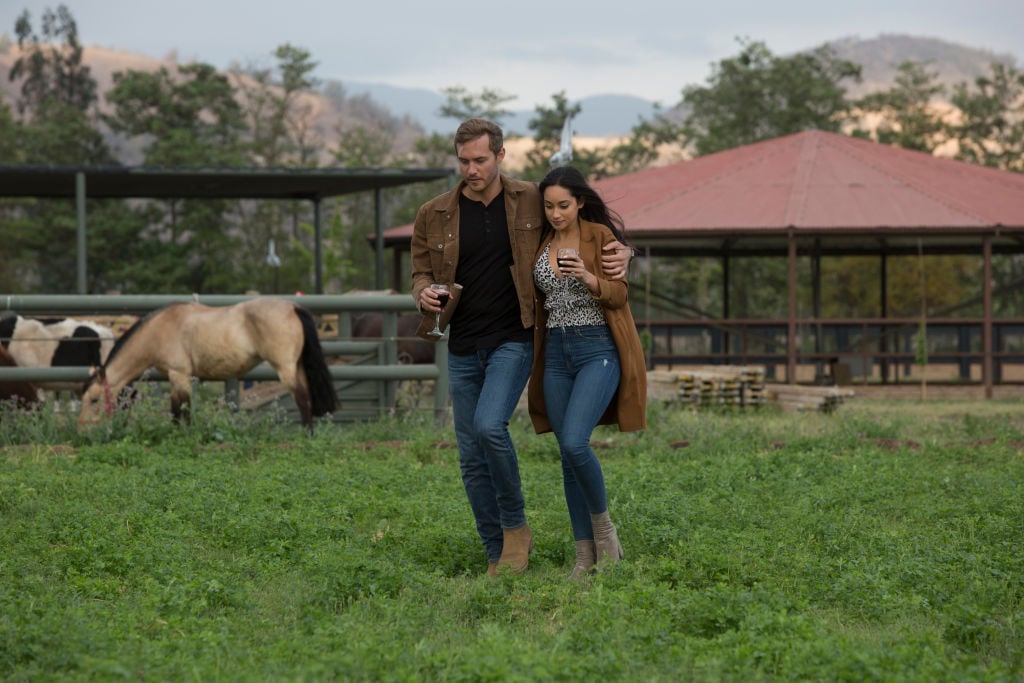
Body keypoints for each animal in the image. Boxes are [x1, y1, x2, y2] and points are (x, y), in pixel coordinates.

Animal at [80, 296, 335, 430]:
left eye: (94, 400)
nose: (83, 429)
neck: (159, 330)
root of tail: (293, 306)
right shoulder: (176, 377)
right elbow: (179, 410)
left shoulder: (179, 375)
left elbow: (180, 411)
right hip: (297, 367)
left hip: (285, 370)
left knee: (302, 399)